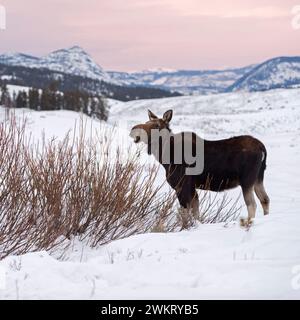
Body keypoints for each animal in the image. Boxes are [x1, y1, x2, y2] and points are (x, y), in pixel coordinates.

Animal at [130, 110, 270, 222]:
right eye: (146, 121)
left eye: (156, 125)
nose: (133, 129)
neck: (165, 156)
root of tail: (262, 148)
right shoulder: (192, 189)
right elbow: (196, 213)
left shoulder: (182, 186)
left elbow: (185, 214)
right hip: (258, 178)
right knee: (265, 200)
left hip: (247, 180)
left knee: (252, 204)